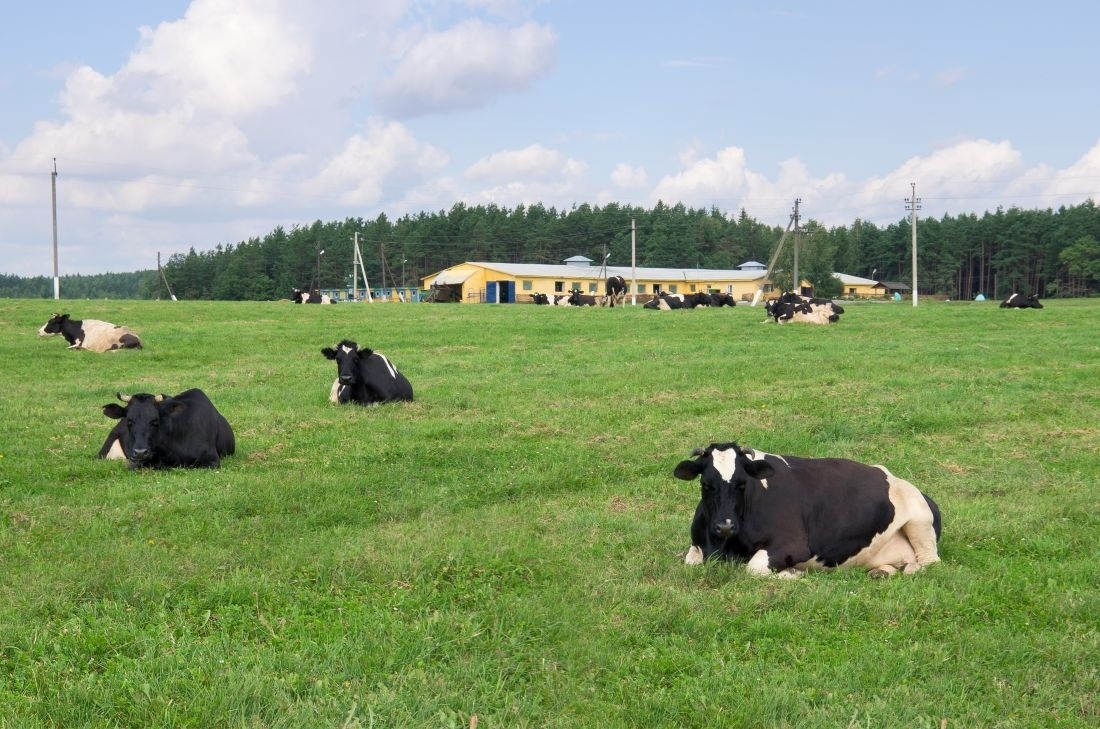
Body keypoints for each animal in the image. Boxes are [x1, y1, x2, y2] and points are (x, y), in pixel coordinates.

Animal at [673, 442, 941, 580]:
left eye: (742, 483)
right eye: (705, 484)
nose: (725, 526)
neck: (724, 545)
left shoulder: (793, 544)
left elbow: (753, 568)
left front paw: (791, 573)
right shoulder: (698, 546)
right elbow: (691, 562)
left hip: (919, 520)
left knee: (931, 561)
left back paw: (910, 569)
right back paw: (881, 572)